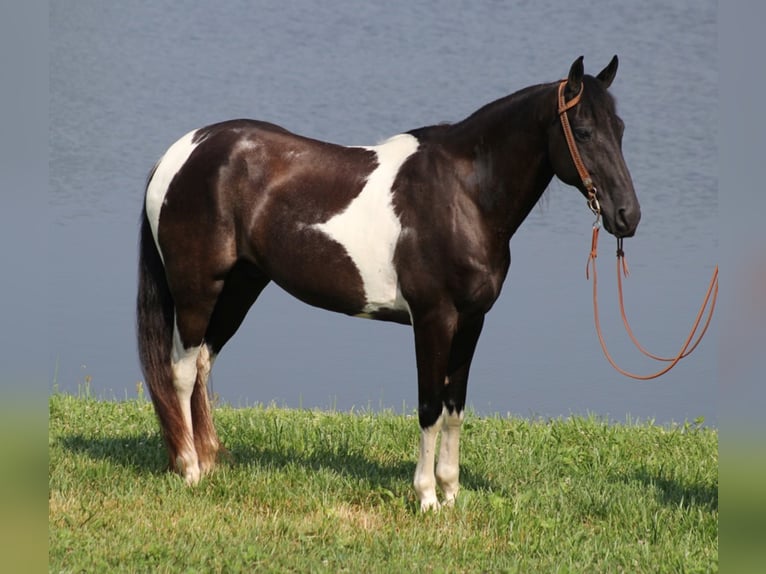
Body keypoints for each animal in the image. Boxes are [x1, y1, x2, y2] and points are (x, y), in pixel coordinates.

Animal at [136, 55, 640, 512]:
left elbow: (455, 407)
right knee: (181, 371)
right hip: (198, 290)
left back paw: (209, 460)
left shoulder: (472, 321)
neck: (462, 196)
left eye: (620, 128)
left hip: (241, 287)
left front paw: (451, 493)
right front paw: (427, 498)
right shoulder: (434, 319)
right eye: (584, 131)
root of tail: (179, 154)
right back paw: (189, 469)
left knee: (203, 364)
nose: (627, 216)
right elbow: (429, 407)